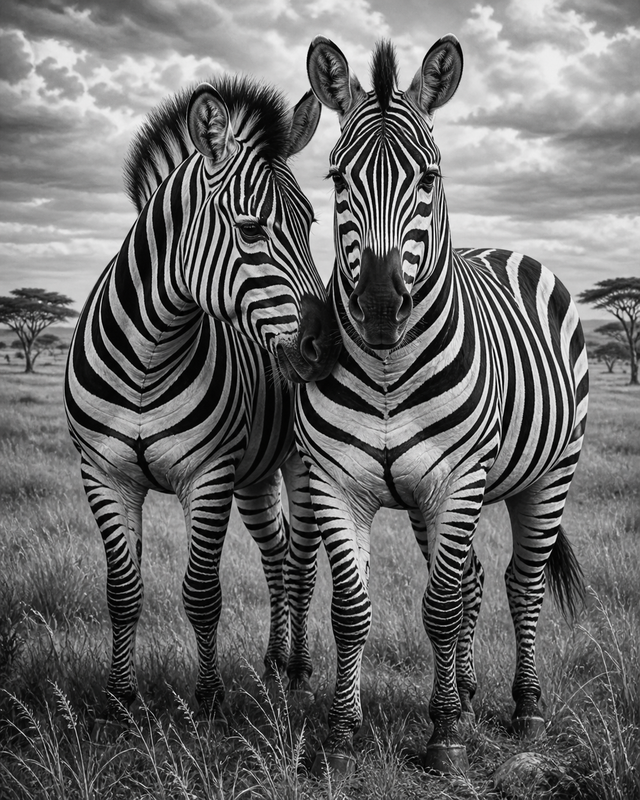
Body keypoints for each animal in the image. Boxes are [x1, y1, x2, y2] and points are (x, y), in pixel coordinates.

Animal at [64, 75, 340, 726]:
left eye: (312, 222)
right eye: (252, 230)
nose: (326, 351)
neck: (148, 354)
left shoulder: (209, 474)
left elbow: (202, 593)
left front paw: (209, 701)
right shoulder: (104, 474)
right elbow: (122, 590)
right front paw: (119, 702)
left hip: (298, 463)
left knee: (301, 560)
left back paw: (297, 669)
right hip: (254, 476)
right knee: (276, 554)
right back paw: (272, 663)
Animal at [291, 36, 588, 774]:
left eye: (429, 177)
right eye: (336, 179)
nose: (378, 311)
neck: (389, 373)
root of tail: (510, 251)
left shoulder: (456, 480)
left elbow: (441, 609)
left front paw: (446, 734)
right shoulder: (337, 483)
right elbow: (353, 609)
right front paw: (342, 735)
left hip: (549, 474)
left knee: (519, 583)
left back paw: (524, 708)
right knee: (476, 579)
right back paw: (472, 692)